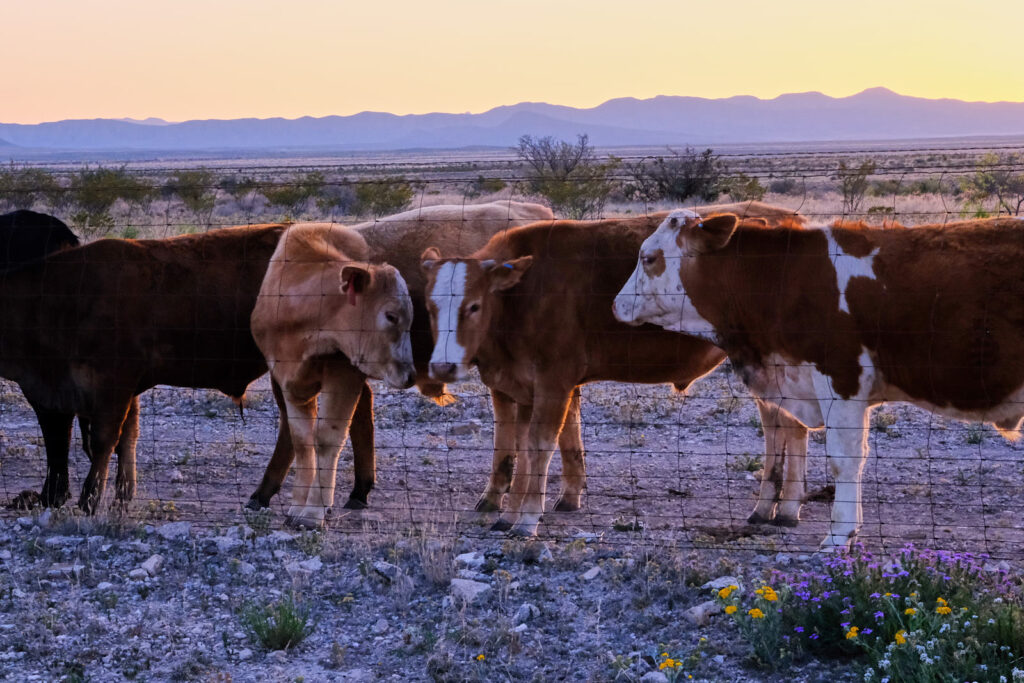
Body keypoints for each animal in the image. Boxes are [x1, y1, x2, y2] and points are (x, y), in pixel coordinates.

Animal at [249, 222, 413, 528]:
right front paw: (297, 505)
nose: (409, 375)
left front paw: (313, 511)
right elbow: (302, 441)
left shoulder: (344, 373)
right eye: (391, 316)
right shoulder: (288, 380)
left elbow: (326, 437)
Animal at [419, 205, 811, 536]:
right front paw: (509, 511)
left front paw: (527, 517)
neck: (523, 295)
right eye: (430, 306)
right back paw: (768, 506)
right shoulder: (517, 386)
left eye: (473, 306)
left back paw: (786, 507)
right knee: (778, 424)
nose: (442, 365)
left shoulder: (553, 382)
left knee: (791, 426)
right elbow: (519, 447)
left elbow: (540, 445)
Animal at [610, 210, 1024, 548]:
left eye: (648, 258)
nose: (615, 304)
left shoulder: (841, 379)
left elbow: (845, 459)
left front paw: (839, 535)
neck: (785, 279)